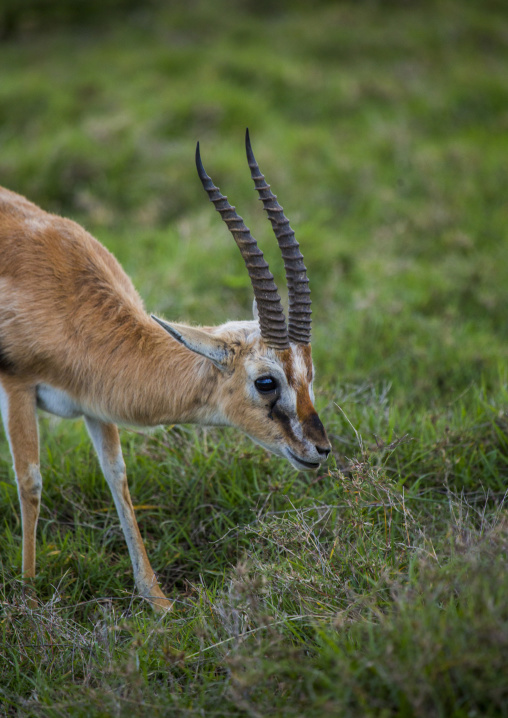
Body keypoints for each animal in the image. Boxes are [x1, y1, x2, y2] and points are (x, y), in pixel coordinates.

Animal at [0, 130, 330, 612]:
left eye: (309, 374)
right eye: (266, 381)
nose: (320, 450)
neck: (68, 303)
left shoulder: (95, 403)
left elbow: (117, 476)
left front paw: (156, 600)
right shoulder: (17, 386)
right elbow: (30, 482)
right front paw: (26, 597)